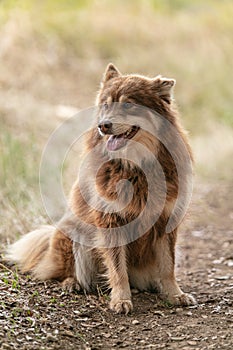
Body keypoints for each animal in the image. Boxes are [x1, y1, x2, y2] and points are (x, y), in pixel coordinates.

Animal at [6, 63, 195, 314]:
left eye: (128, 104)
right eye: (106, 104)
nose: (103, 125)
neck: (136, 167)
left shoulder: (166, 221)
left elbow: (168, 266)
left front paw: (175, 294)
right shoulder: (110, 221)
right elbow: (117, 268)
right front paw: (121, 299)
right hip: (73, 234)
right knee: (65, 271)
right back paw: (72, 283)